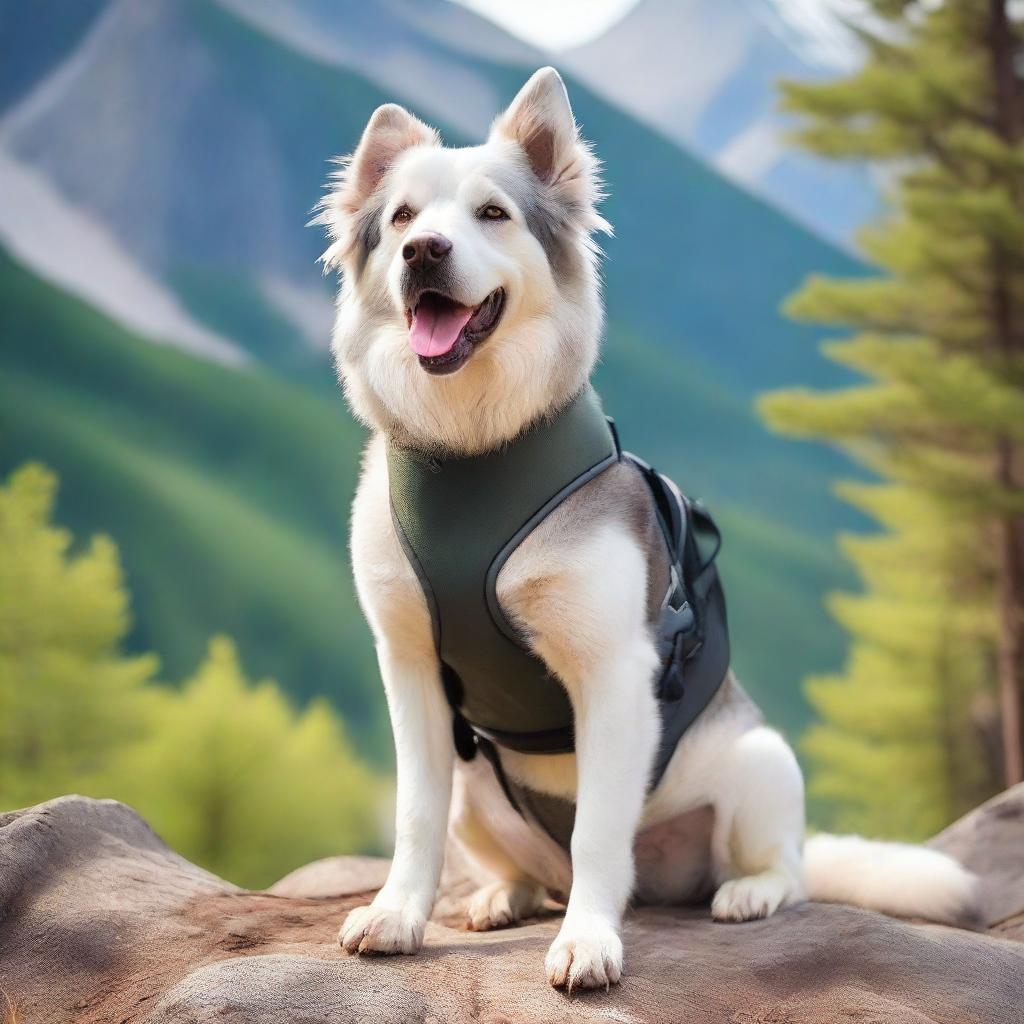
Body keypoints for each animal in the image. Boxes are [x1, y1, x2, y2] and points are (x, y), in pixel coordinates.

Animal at [317, 66, 974, 991]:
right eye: (404, 219)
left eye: (492, 213)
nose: (423, 254)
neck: (475, 448)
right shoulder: (408, 670)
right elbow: (414, 815)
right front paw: (398, 914)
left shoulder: (613, 673)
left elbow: (598, 830)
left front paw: (590, 941)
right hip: (479, 797)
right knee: (525, 867)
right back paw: (503, 896)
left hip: (762, 762)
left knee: (783, 868)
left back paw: (745, 893)